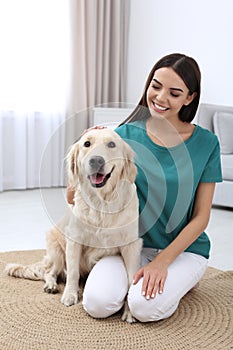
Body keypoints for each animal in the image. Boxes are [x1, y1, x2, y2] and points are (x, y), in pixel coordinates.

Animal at [5, 128, 143, 322]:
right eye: (87, 144)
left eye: (111, 144)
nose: (96, 160)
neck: (102, 203)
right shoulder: (74, 241)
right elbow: (72, 272)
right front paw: (69, 294)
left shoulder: (131, 244)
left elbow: (131, 279)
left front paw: (130, 311)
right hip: (56, 249)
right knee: (50, 272)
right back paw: (53, 286)